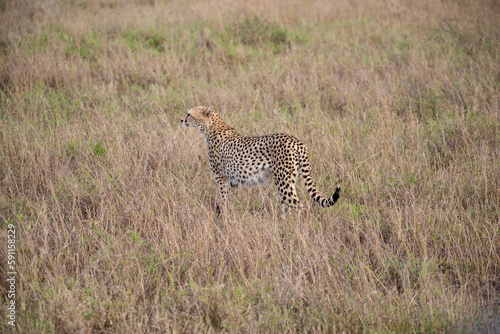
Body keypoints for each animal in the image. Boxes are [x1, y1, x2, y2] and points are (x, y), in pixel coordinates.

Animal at [182, 105, 342, 213]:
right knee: (288, 207)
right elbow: (222, 198)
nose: (181, 120)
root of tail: (296, 141)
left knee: (301, 208)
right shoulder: (229, 180)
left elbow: (221, 199)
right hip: (288, 180)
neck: (210, 128)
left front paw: (221, 218)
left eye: (188, 114)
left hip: (283, 181)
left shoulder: (221, 177)